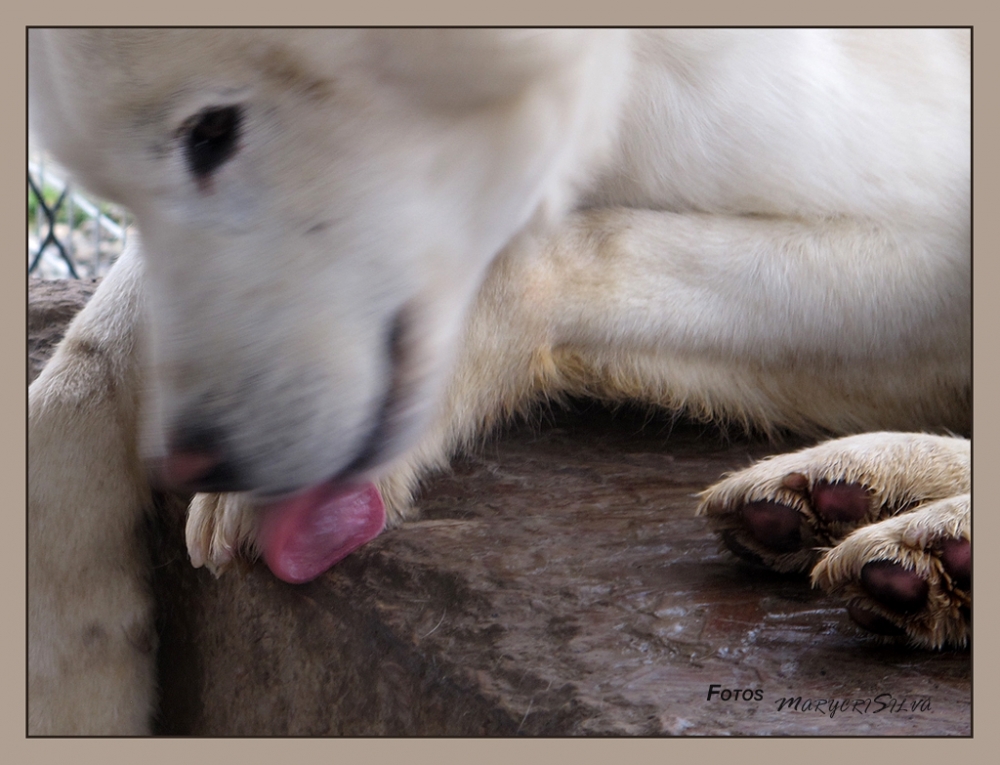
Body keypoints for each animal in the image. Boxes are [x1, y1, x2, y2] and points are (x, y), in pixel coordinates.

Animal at [29, 29, 968, 736]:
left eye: (212, 132)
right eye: (114, 183)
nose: (192, 461)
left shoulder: (924, 232)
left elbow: (555, 249)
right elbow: (81, 370)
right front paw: (69, 673)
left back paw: (918, 529)